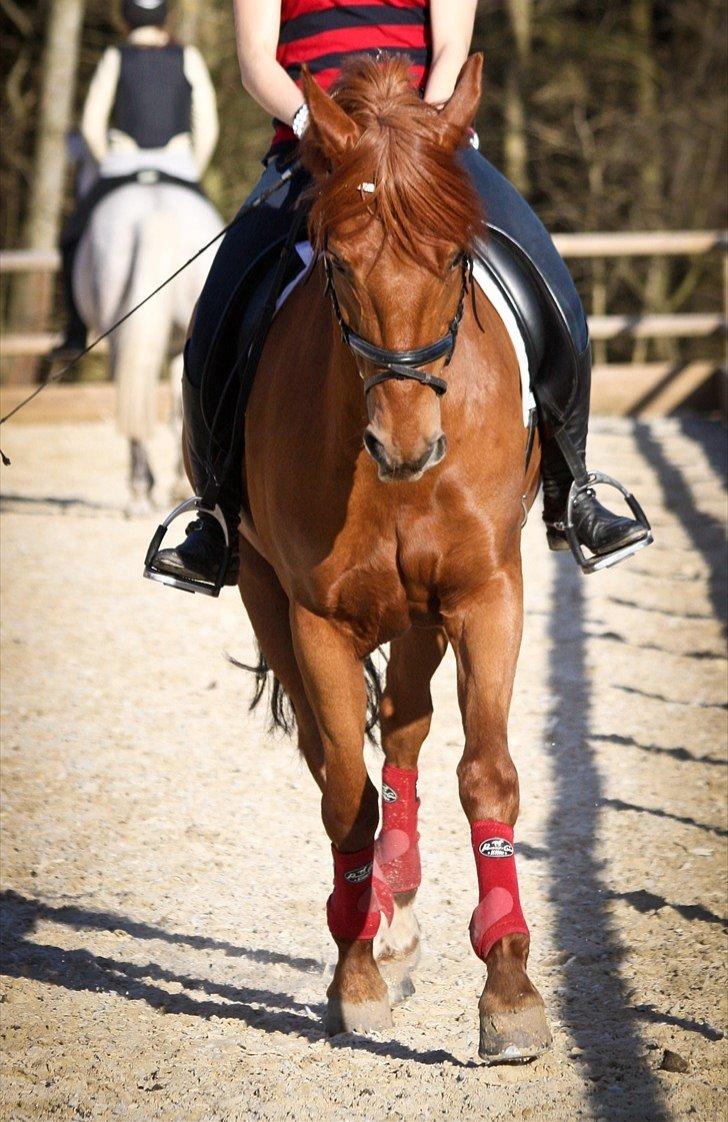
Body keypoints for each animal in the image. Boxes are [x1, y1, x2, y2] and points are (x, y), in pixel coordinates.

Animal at [226, 54, 551, 1062]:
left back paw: (399, 909)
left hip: (423, 614)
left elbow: (487, 776)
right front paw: (355, 980)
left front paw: (511, 993)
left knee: (407, 729)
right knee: (341, 757)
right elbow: (344, 793)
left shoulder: (486, 593)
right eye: (337, 264)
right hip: (270, 599)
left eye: (453, 260)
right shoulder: (316, 618)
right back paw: (375, 923)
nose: (406, 446)